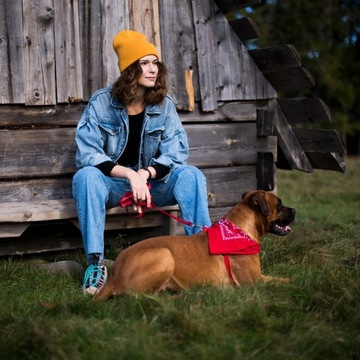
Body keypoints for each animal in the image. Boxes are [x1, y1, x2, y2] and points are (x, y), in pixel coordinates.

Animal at [95, 190, 296, 300]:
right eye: (279, 205)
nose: (294, 210)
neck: (238, 230)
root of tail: (114, 276)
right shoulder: (253, 283)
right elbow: (277, 283)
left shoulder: (259, 277)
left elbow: (281, 279)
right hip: (164, 254)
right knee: (142, 297)